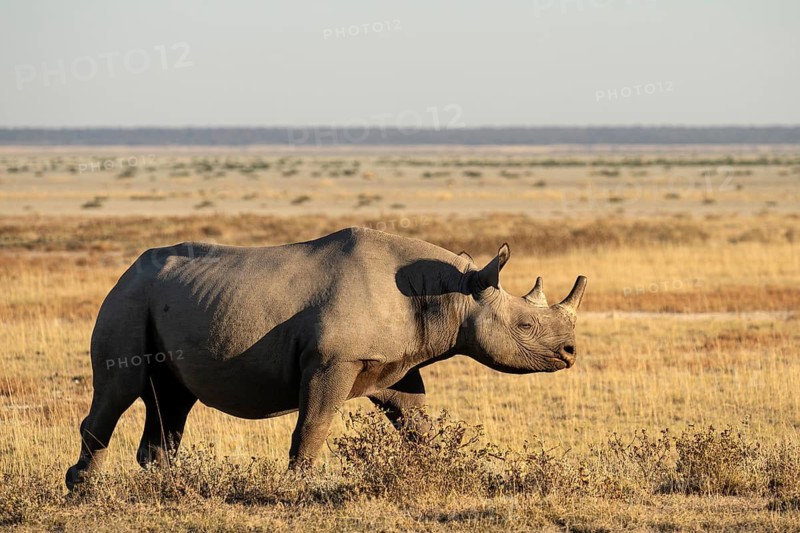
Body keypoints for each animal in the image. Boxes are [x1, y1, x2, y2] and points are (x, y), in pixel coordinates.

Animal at [66, 227, 587, 489]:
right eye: (525, 326)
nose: (570, 353)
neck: (453, 293)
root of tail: (126, 269)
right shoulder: (333, 360)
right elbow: (314, 420)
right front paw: (298, 487)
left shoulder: (393, 365)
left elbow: (416, 422)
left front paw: (437, 470)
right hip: (128, 298)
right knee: (121, 388)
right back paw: (84, 488)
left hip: (158, 297)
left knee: (173, 398)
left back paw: (163, 485)